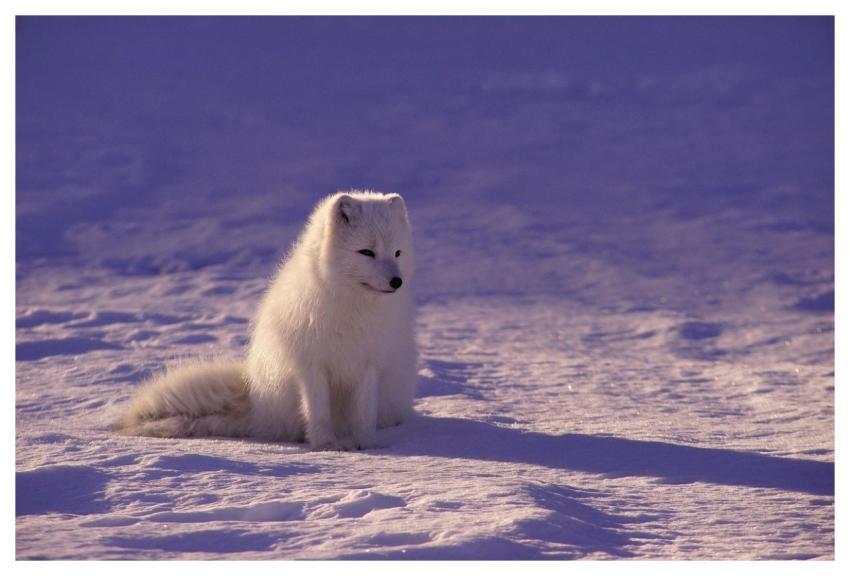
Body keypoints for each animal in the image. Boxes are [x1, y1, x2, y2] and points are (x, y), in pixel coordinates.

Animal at [114, 191, 417, 451]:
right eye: (366, 252)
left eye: (397, 253)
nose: (397, 281)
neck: (352, 307)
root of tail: (255, 404)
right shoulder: (311, 365)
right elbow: (318, 412)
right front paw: (326, 446)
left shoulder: (369, 363)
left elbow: (364, 413)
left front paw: (367, 445)